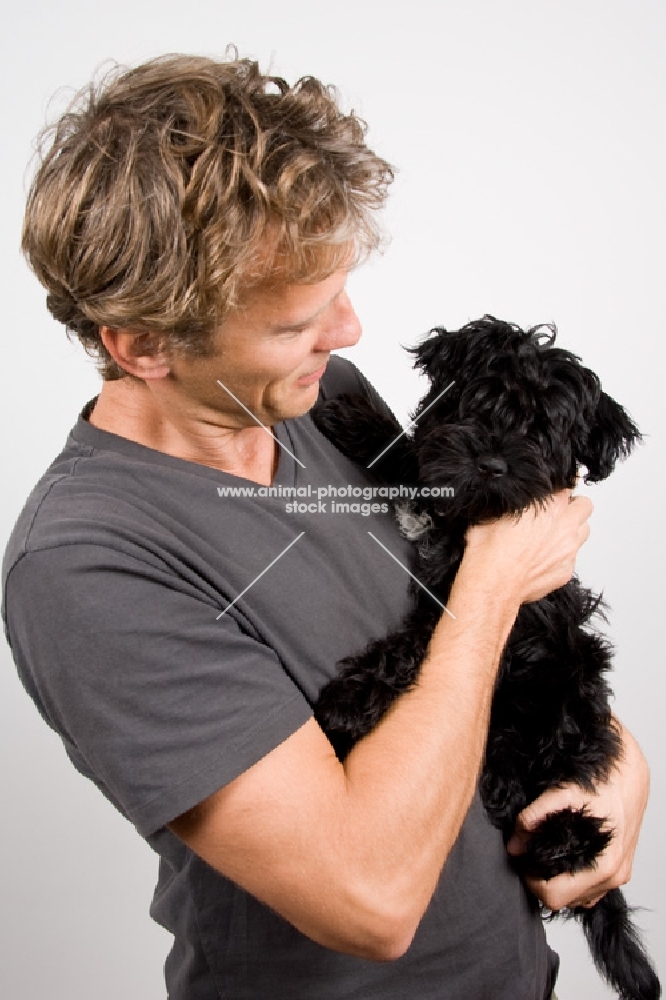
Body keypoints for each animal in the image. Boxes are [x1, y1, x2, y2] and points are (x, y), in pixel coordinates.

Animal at [312, 318, 660, 1000]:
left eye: (544, 430)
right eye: (478, 403)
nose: (492, 461)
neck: (468, 516)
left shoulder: (485, 612)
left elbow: (413, 643)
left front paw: (350, 700)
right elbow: (418, 455)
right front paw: (360, 421)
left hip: (566, 697)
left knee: (570, 816)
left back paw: (549, 832)